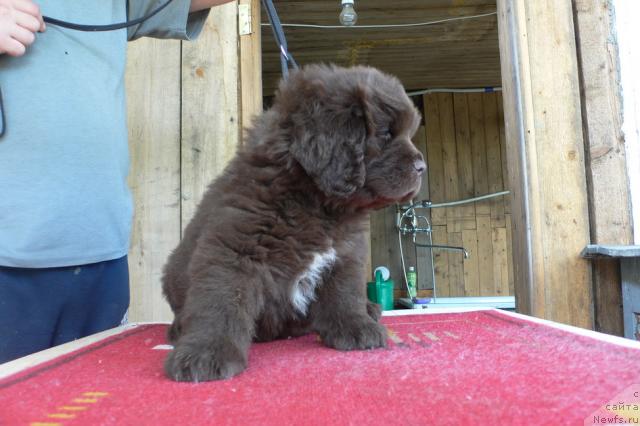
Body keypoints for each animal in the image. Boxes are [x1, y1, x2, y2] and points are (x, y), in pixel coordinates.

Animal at [161, 64, 424, 382]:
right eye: (386, 133)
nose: (422, 167)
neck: (317, 202)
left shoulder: (345, 253)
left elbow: (345, 292)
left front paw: (356, 327)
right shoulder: (234, 249)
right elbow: (220, 303)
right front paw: (206, 353)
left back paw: (368, 309)